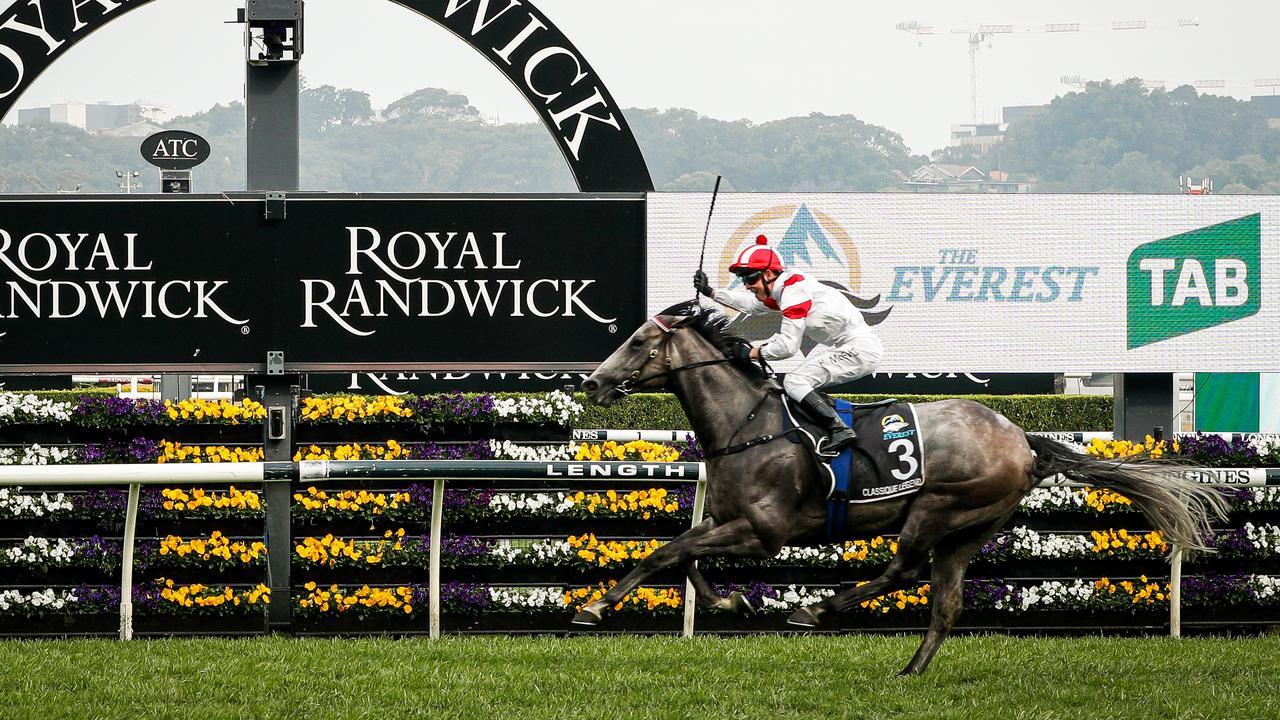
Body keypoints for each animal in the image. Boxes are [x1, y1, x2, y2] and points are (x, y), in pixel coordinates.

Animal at [573, 299, 1228, 676]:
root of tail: (1020, 438)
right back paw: (910, 671)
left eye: (638, 341)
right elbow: (679, 555)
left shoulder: (764, 531)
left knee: (904, 572)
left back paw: (817, 609)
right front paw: (723, 603)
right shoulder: (725, 519)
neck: (748, 425)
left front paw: (594, 606)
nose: (592, 383)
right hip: (972, 528)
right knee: (946, 603)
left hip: (938, 508)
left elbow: (669, 552)